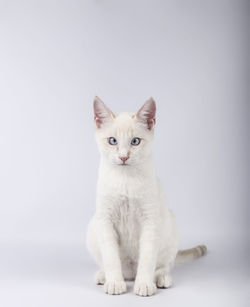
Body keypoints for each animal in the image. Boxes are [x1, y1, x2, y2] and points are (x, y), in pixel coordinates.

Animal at [87, 97, 206, 298]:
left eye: (135, 141)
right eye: (112, 141)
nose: (123, 157)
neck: (125, 179)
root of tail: (130, 272)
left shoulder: (150, 220)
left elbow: (148, 258)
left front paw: (143, 285)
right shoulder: (105, 219)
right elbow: (110, 257)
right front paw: (115, 283)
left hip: (170, 226)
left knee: (163, 265)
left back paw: (161, 279)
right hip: (93, 227)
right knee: (108, 262)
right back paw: (104, 276)